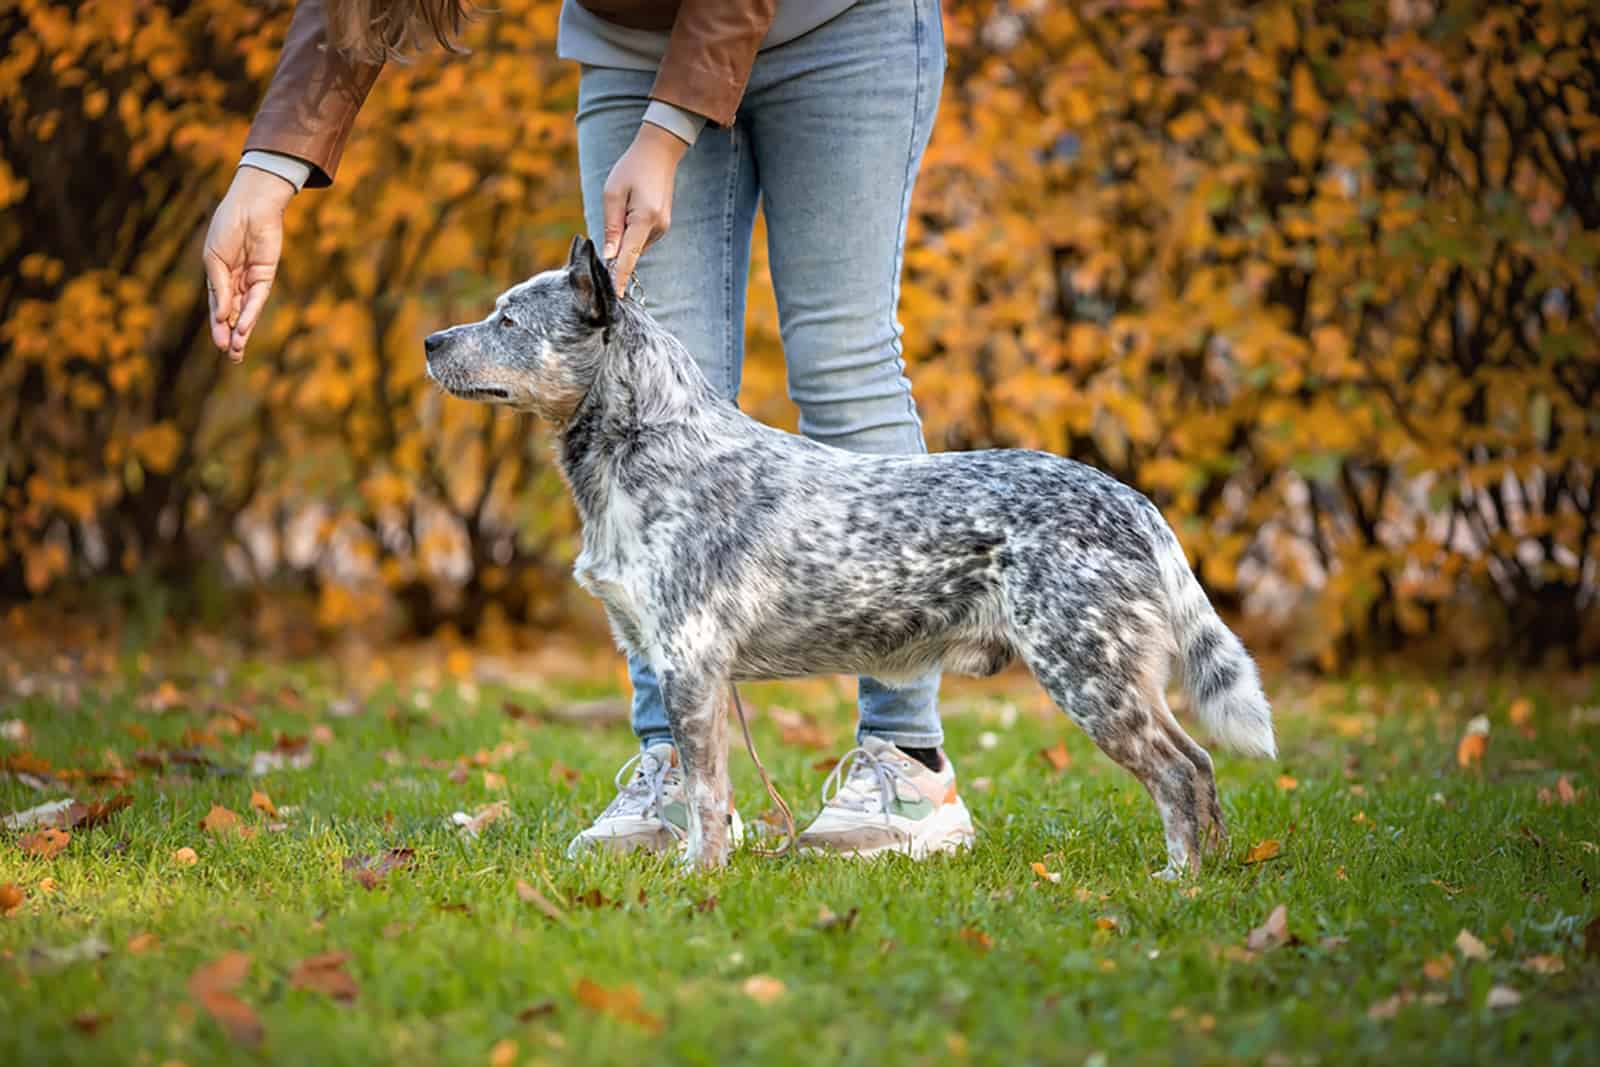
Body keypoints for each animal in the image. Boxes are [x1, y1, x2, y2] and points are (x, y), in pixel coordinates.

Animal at [425, 238, 1273, 883]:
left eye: (507, 318)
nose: (431, 341)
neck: (649, 447)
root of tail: (1135, 502)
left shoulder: (691, 661)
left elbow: (704, 792)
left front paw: (698, 879)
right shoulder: (675, 660)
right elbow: (703, 787)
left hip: (1088, 672)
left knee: (1179, 769)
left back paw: (1180, 877)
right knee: (1200, 763)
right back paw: (1218, 869)